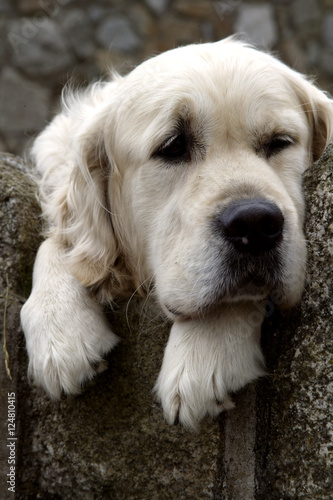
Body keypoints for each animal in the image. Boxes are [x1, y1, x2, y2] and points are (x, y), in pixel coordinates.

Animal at [20, 38, 332, 430]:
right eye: (173, 147)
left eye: (279, 142)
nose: (255, 224)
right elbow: (61, 242)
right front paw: (60, 328)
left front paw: (204, 352)